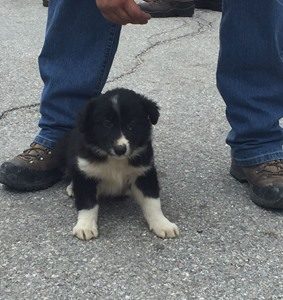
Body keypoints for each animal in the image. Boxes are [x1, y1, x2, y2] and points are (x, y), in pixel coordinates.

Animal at [65, 88, 180, 240]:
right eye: (106, 124)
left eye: (131, 124)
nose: (120, 149)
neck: (116, 161)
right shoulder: (86, 173)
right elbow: (87, 204)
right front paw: (85, 226)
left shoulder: (144, 172)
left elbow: (152, 202)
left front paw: (162, 224)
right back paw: (72, 188)